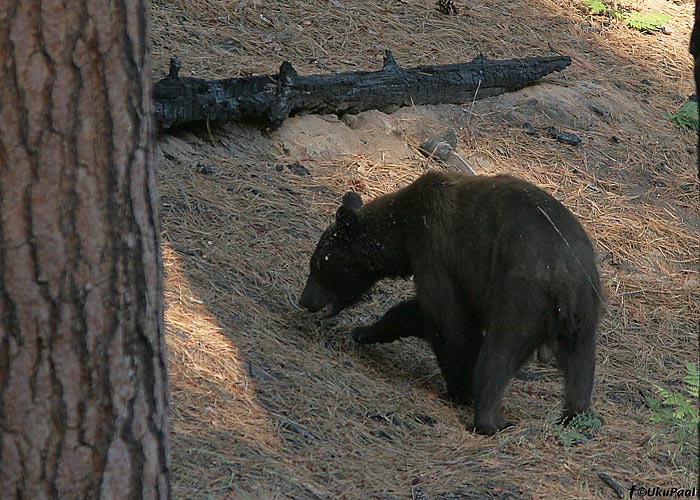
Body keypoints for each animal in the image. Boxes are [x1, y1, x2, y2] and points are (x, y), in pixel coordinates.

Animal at [300, 171, 600, 434]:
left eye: (318, 264)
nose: (305, 300)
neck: (402, 229)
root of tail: (564, 279)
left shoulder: (435, 250)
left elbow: (449, 323)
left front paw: (459, 389)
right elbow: (417, 311)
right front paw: (366, 331)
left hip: (521, 296)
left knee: (498, 353)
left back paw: (489, 420)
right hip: (587, 308)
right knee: (581, 368)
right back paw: (573, 416)